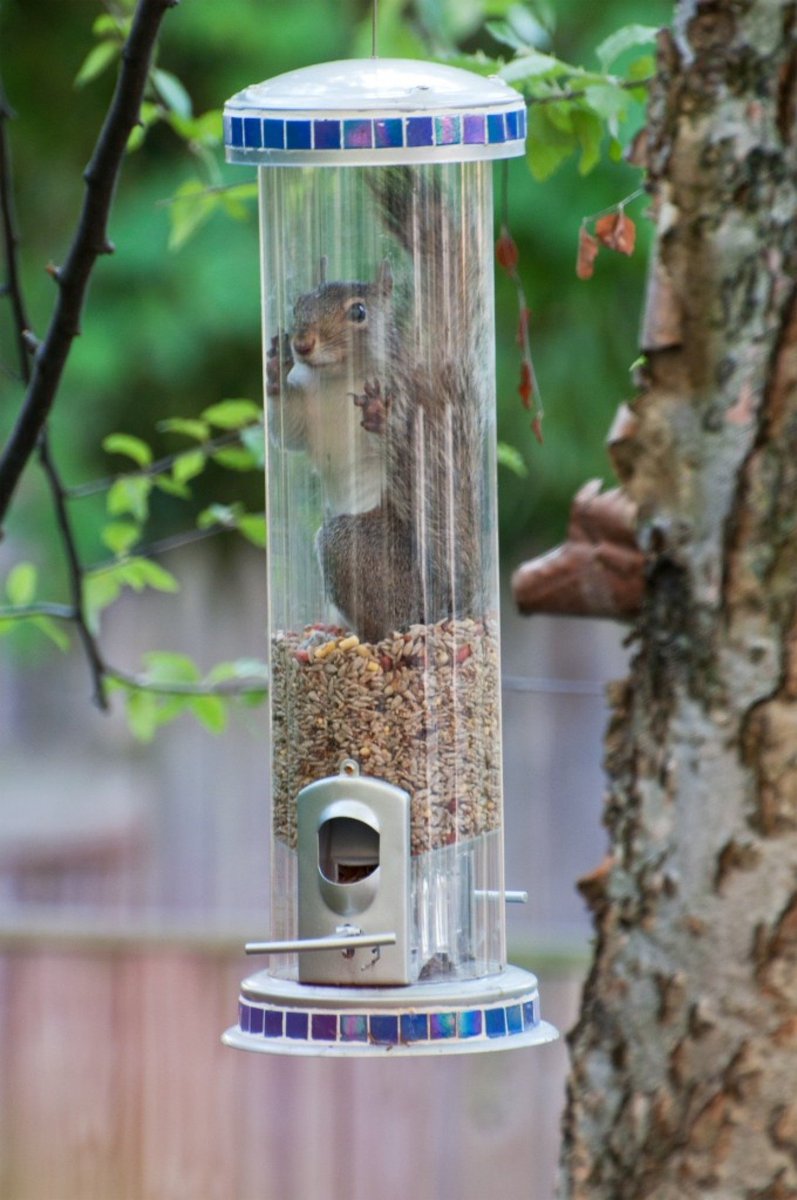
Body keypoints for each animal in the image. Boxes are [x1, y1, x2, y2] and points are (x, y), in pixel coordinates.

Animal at [266, 166, 488, 645]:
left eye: (359, 312)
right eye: (297, 304)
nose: (301, 343)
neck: (337, 380)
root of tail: (438, 605)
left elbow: (414, 438)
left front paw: (379, 415)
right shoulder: (306, 417)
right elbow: (286, 433)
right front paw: (274, 370)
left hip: (349, 544)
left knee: (383, 626)